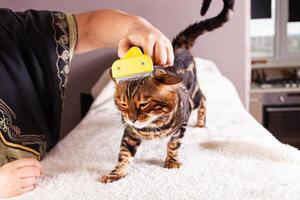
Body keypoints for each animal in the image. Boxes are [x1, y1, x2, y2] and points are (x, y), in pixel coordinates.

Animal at [101, 0, 234, 183]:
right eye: (123, 104)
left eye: (144, 104)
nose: (132, 119)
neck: (153, 125)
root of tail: (179, 46)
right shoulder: (130, 133)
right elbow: (123, 154)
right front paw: (116, 173)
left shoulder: (181, 124)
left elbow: (173, 144)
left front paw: (171, 161)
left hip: (193, 97)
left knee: (204, 98)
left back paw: (201, 122)